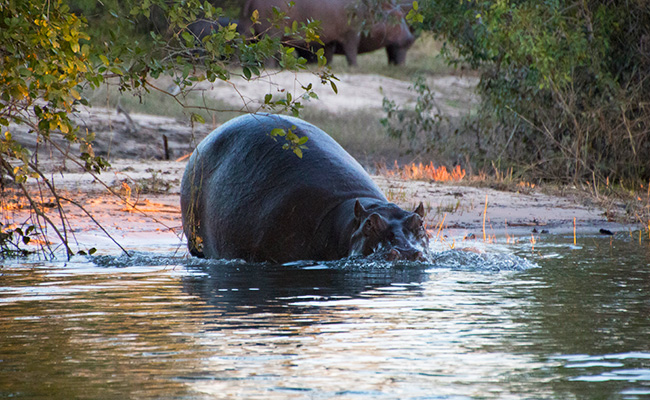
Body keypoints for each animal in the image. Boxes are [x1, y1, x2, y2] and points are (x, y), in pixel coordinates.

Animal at [239, 0, 416, 65]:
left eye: (402, 13)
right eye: (397, 15)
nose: (411, 37)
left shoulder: (329, 39)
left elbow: (328, 55)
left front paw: (326, 66)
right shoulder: (352, 33)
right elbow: (351, 51)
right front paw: (355, 67)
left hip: (246, 26)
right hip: (273, 32)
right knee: (270, 52)